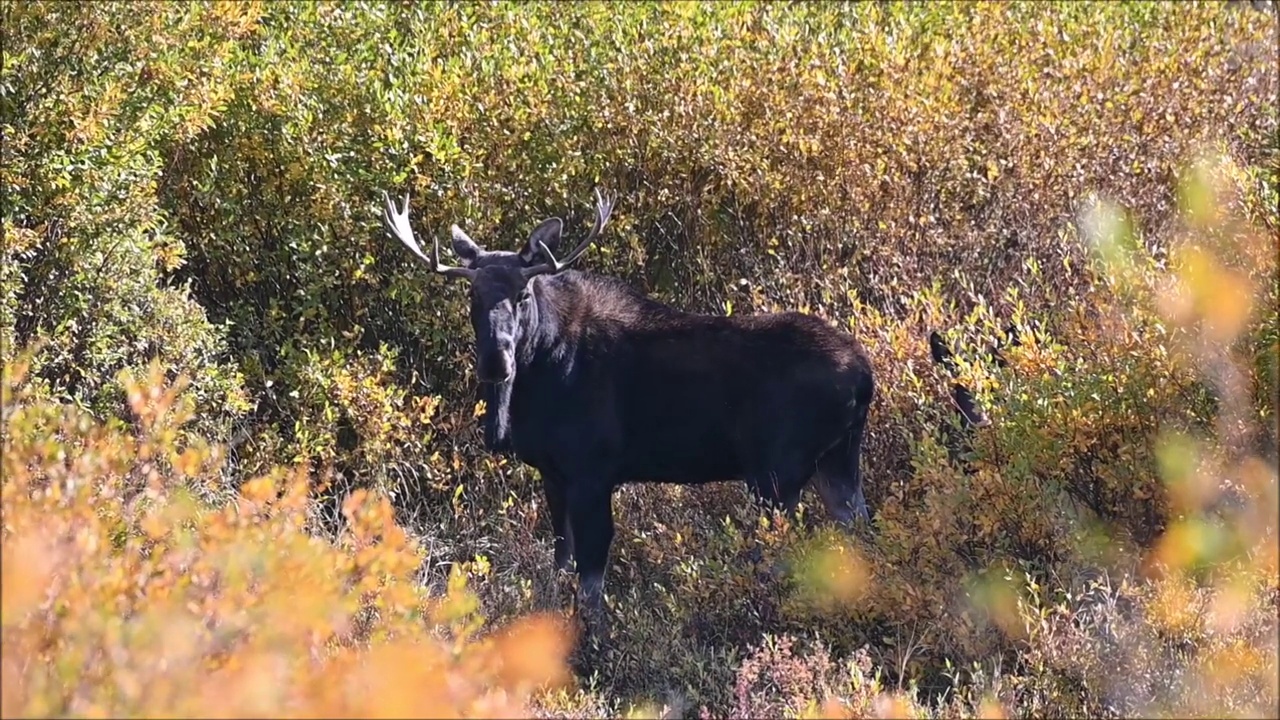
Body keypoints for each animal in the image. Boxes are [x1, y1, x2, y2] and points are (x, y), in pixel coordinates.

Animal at [378, 188, 875, 614]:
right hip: (836, 461)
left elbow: (592, 579)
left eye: (523, 294)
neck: (538, 374)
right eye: (472, 294)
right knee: (859, 529)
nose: (495, 361)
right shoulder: (553, 473)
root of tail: (864, 375)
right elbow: (561, 561)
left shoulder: (593, 471)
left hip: (778, 472)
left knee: (785, 553)